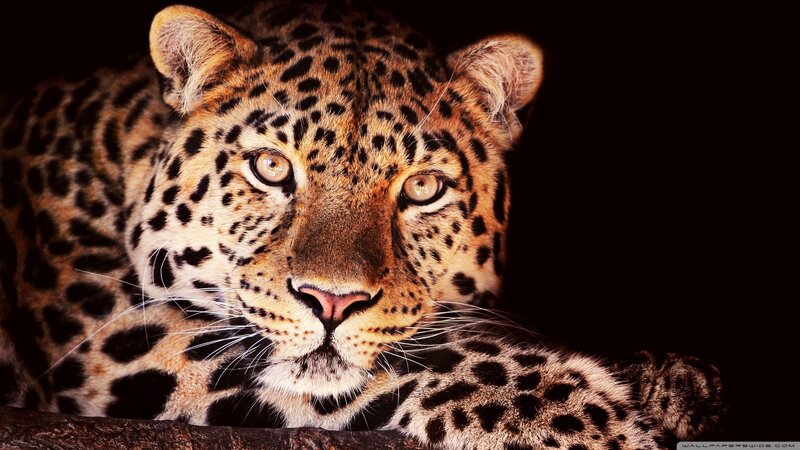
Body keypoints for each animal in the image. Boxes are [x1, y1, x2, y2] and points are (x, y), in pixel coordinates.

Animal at [0, 1, 724, 448]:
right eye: (270, 167)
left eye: (423, 188)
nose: (331, 301)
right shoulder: (112, 334)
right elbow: (417, 353)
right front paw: (577, 414)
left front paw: (669, 384)